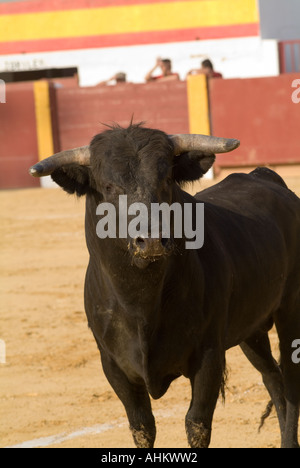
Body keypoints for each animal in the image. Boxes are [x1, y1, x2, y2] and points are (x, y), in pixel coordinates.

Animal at [31, 125, 300, 450]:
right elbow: (142, 427)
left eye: (166, 179)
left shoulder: (209, 357)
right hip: (251, 328)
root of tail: (265, 175)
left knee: (291, 379)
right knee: (272, 377)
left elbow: (197, 424)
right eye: (108, 186)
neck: (141, 304)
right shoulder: (114, 367)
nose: (151, 240)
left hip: (291, 310)